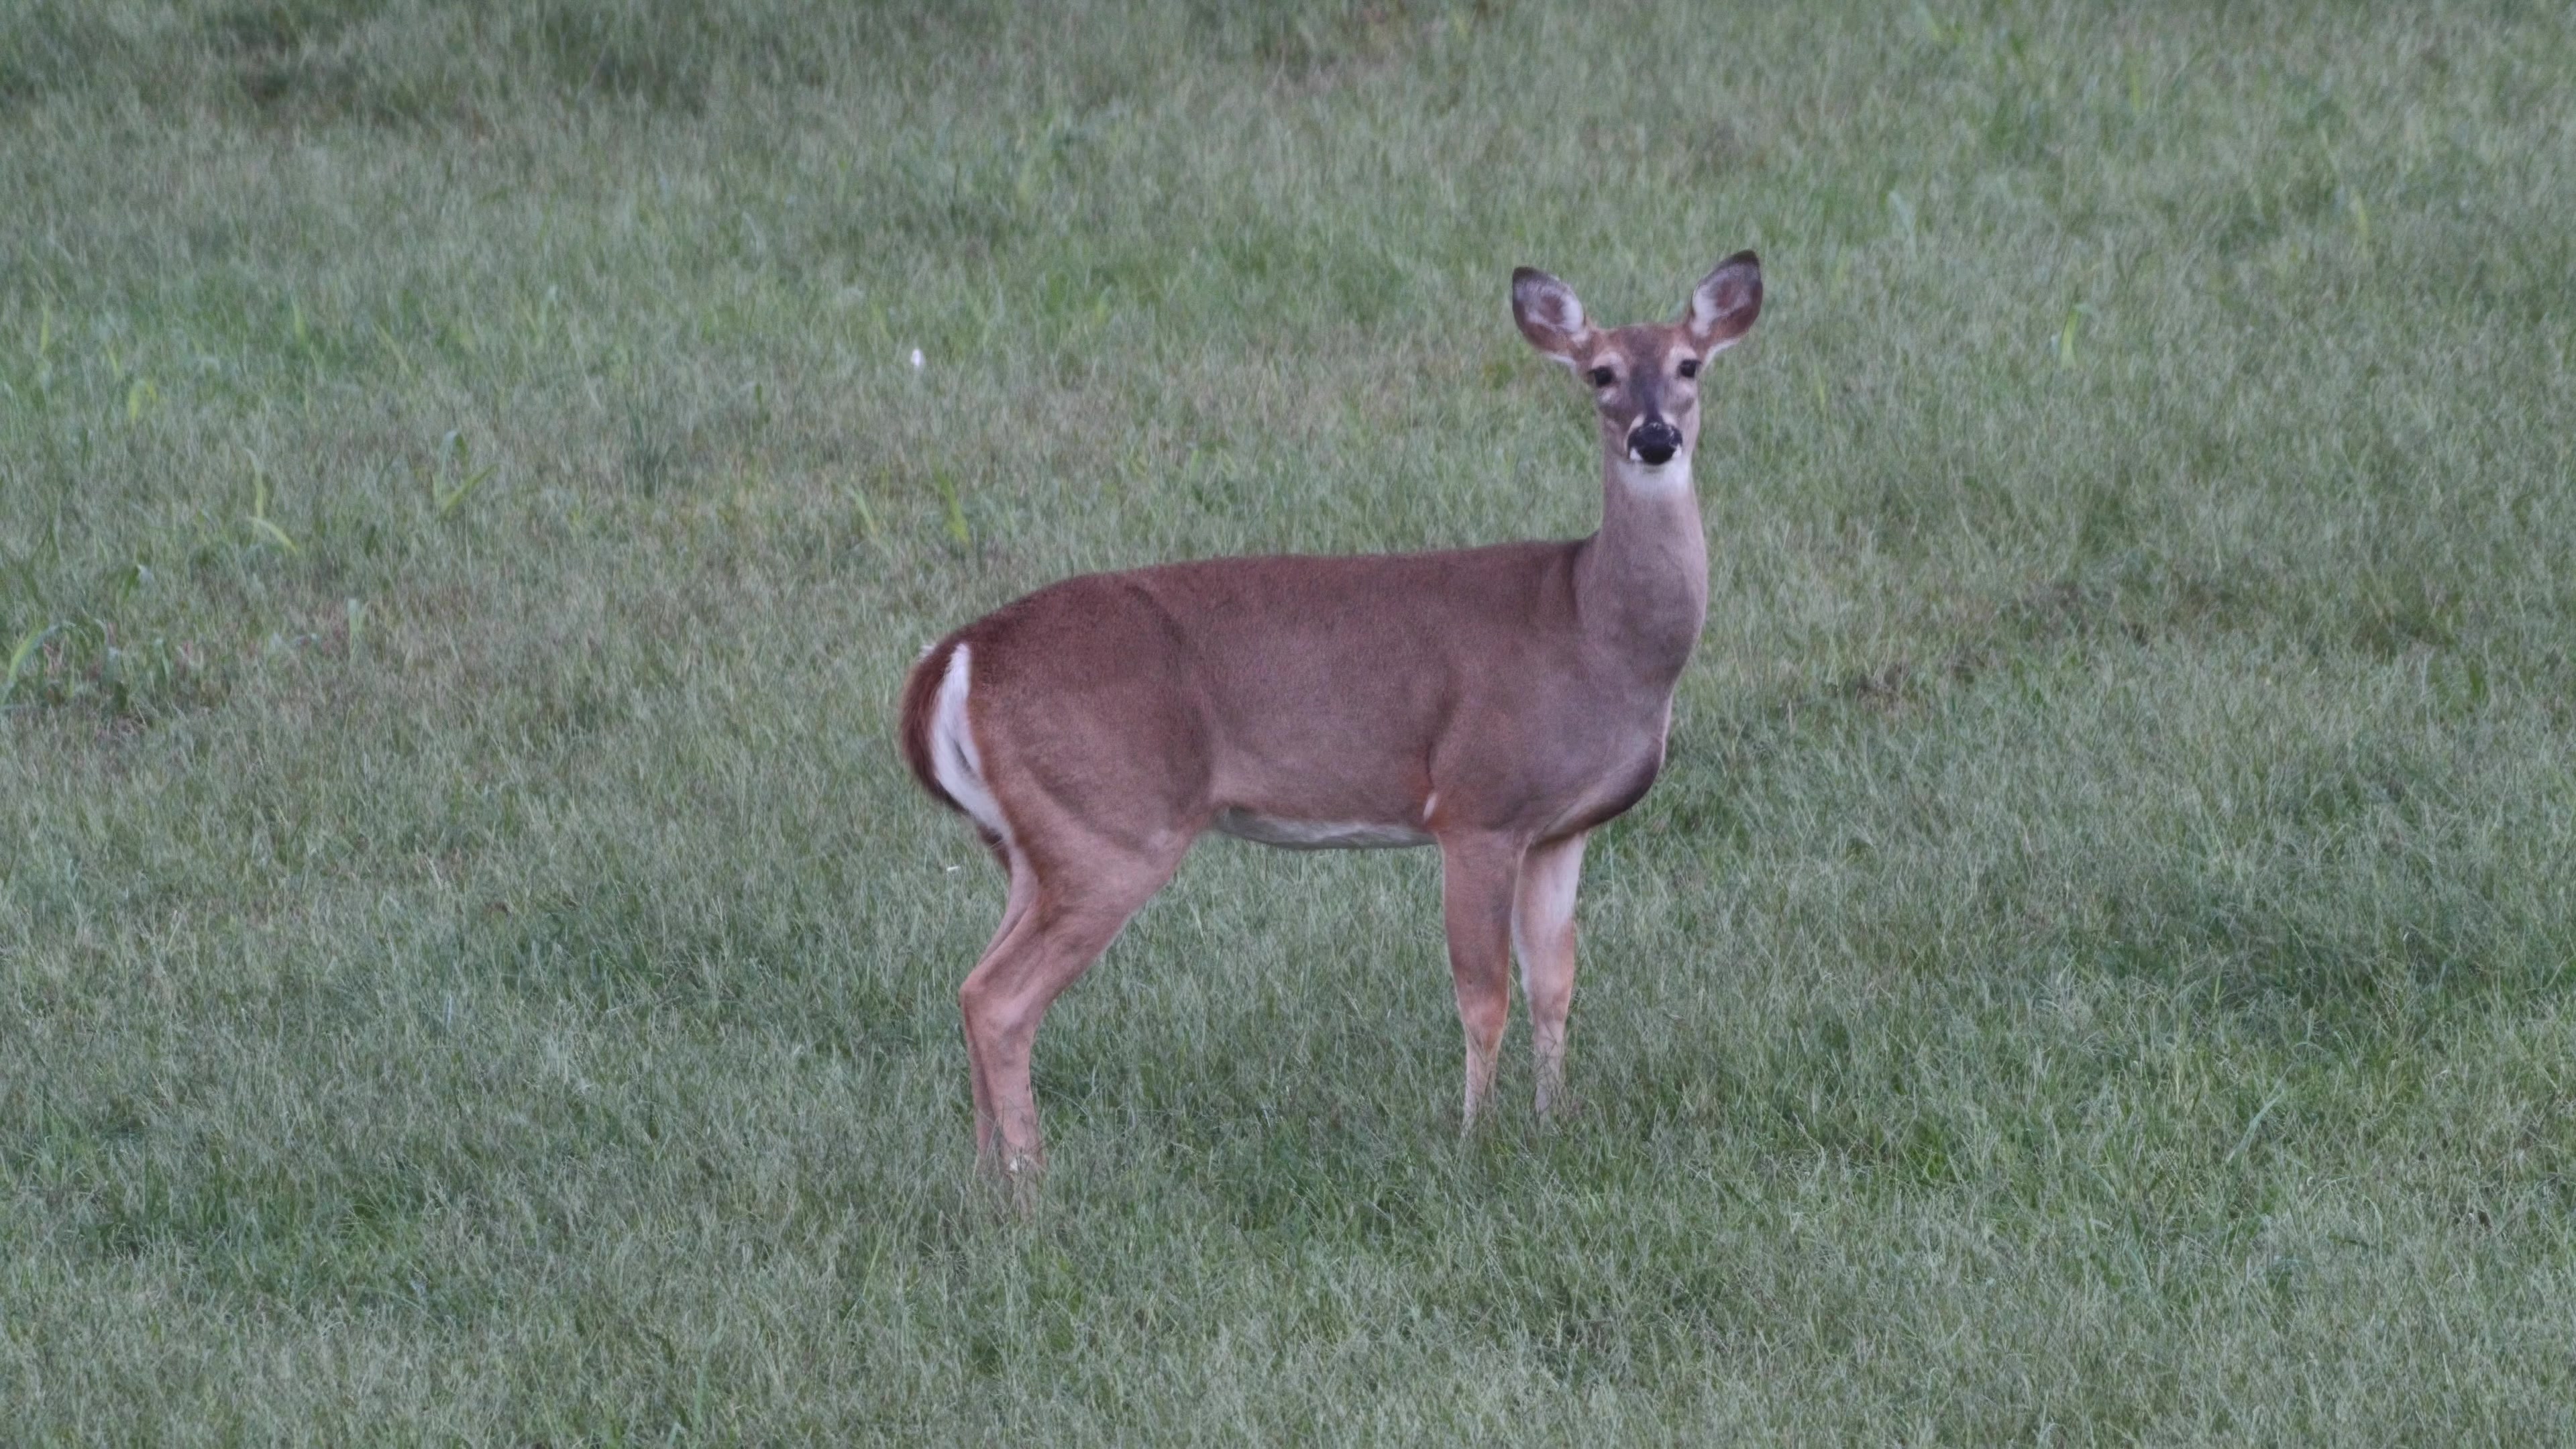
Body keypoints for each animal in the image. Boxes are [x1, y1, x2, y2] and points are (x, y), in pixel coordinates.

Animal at [898, 252, 1763, 1180]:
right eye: (1599, 373)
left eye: (1689, 365)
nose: (1654, 437)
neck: (1592, 626)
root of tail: (957, 656)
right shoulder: (1477, 805)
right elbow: (1483, 992)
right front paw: (1476, 1138)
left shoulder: (1560, 828)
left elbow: (1555, 983)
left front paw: (1552, 1122)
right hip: (1112, 823)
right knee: (998, 997)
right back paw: (1032, 1185)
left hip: (1037, 840)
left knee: (973, 984)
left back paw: (987, 1180)